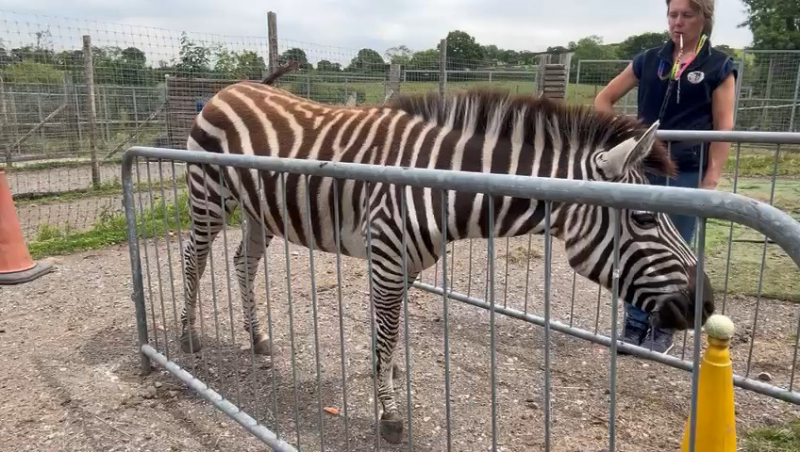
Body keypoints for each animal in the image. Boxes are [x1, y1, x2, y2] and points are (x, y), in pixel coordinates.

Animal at [177, 71, 715, 445]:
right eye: (644, 217)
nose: (705, 306)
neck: (443, 183)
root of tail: (228, 88)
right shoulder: (387, 254)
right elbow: (387, 332)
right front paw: (390, 413)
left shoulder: (404, 264)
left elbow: (389, 334)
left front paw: (387, 377)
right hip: (208, 196)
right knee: (192, 258)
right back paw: (187, 338)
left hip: (256, 210)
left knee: (241, 263)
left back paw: (258, 337)